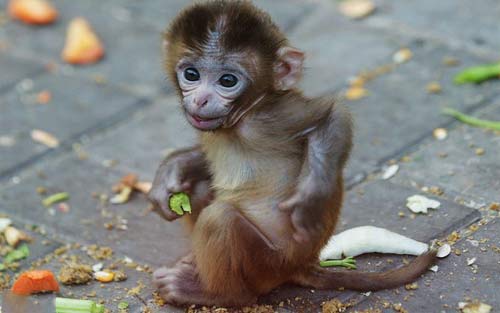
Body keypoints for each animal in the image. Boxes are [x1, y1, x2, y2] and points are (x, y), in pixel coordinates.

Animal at [148, 0, 434, 306]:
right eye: (191, 74)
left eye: (227, 80)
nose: (201, 99)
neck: (241, 118)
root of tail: (302, 264)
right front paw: (173, 169)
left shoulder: (272, 118)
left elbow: (331, 115)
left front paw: (311, 196)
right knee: (199, 189)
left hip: (268, 263)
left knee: (220, 219)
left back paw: (216, 294)